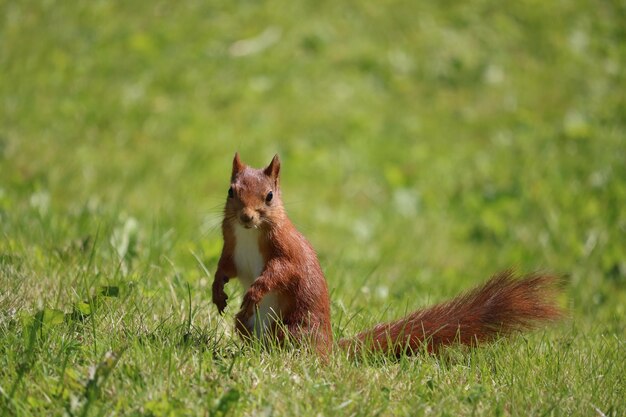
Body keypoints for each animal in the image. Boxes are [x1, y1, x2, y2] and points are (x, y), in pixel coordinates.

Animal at [211, 154, 560, 356]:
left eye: (269, 196)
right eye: (230, 191)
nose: (246, 217)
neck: (250, 234)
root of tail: (328, 351)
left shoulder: (286, 252)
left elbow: (279, 273)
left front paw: (254, 291)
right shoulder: (232, 247)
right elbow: (225, 268)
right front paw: (217, 293)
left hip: (296, 328)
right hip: (255, 327)